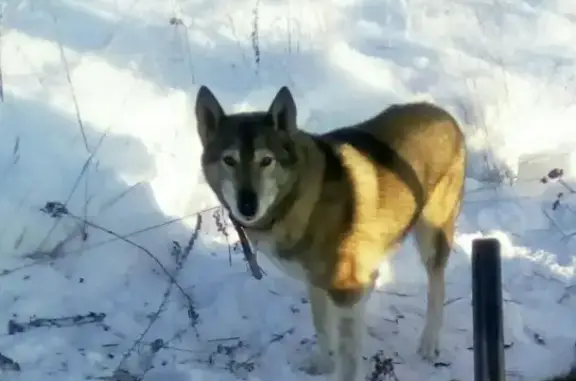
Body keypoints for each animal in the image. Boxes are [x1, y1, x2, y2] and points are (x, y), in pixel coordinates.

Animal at [196, 86, 466, 380]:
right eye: (229, 160)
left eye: (266, 161)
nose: (247, 205)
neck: (300, 197)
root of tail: (444, 115)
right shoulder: (315, 282)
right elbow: (323, 328)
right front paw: (323, 366)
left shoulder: (344, 292)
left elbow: (348, 357)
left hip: (432, 236)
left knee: (436, 288)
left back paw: (429, 343)